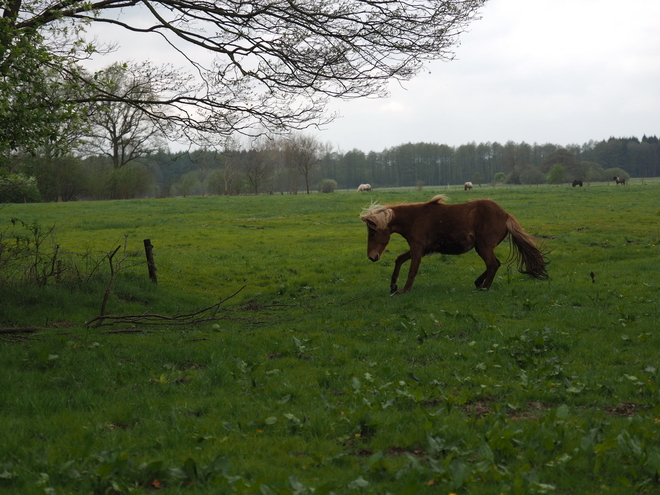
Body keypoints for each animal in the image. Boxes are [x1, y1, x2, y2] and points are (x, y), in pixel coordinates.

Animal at [358, 195, 548, 294]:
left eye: (373, 233)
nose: (372, 257)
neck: (414, 218)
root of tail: (506, 214)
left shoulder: (418, 248)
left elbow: (412, 270)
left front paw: (404, 290)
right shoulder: (419, 248)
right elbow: (399, 259)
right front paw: (393, 285)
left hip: (483, 247)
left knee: (493, 264)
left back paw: (484, 287)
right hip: (483, 248)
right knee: (496, 264)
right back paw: (479, 282)